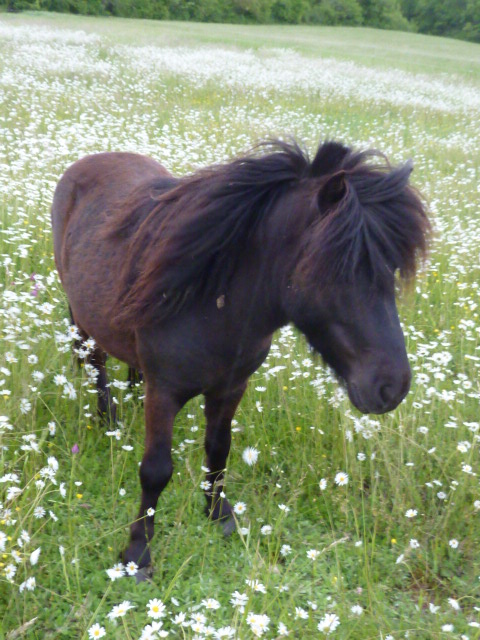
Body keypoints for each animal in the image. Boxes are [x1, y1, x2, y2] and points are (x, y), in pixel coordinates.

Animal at [51, 141, 428, 576]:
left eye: (392, 269)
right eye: (336, 270)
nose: (392, 386)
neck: (212, 302)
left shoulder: (231, 387)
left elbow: (219, 450)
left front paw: (219, 514)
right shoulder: (164, 393)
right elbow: (156, 470)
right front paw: (137, 552)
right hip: (83, 317)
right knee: (95, 362)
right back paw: (108, 418)